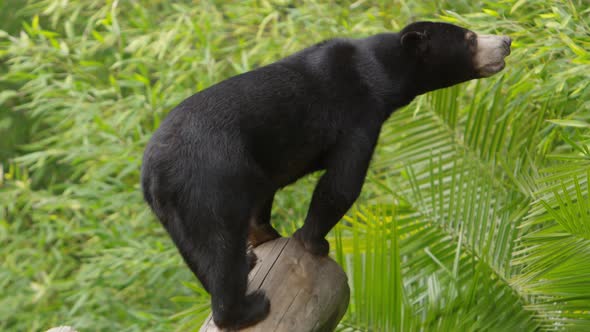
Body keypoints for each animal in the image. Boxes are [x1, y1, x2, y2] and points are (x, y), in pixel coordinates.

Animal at [140, 21, 512, 330]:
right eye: (469, 38)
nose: (507, 41)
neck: (382, 72)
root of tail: (153, 172)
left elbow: (265, 198)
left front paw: (268, 236)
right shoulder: (358, 115)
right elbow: (342, 184)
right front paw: (314, 242)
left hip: (175, 212)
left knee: (199, 253)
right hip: (209, 181)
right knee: (219, 246)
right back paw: (247, 308)